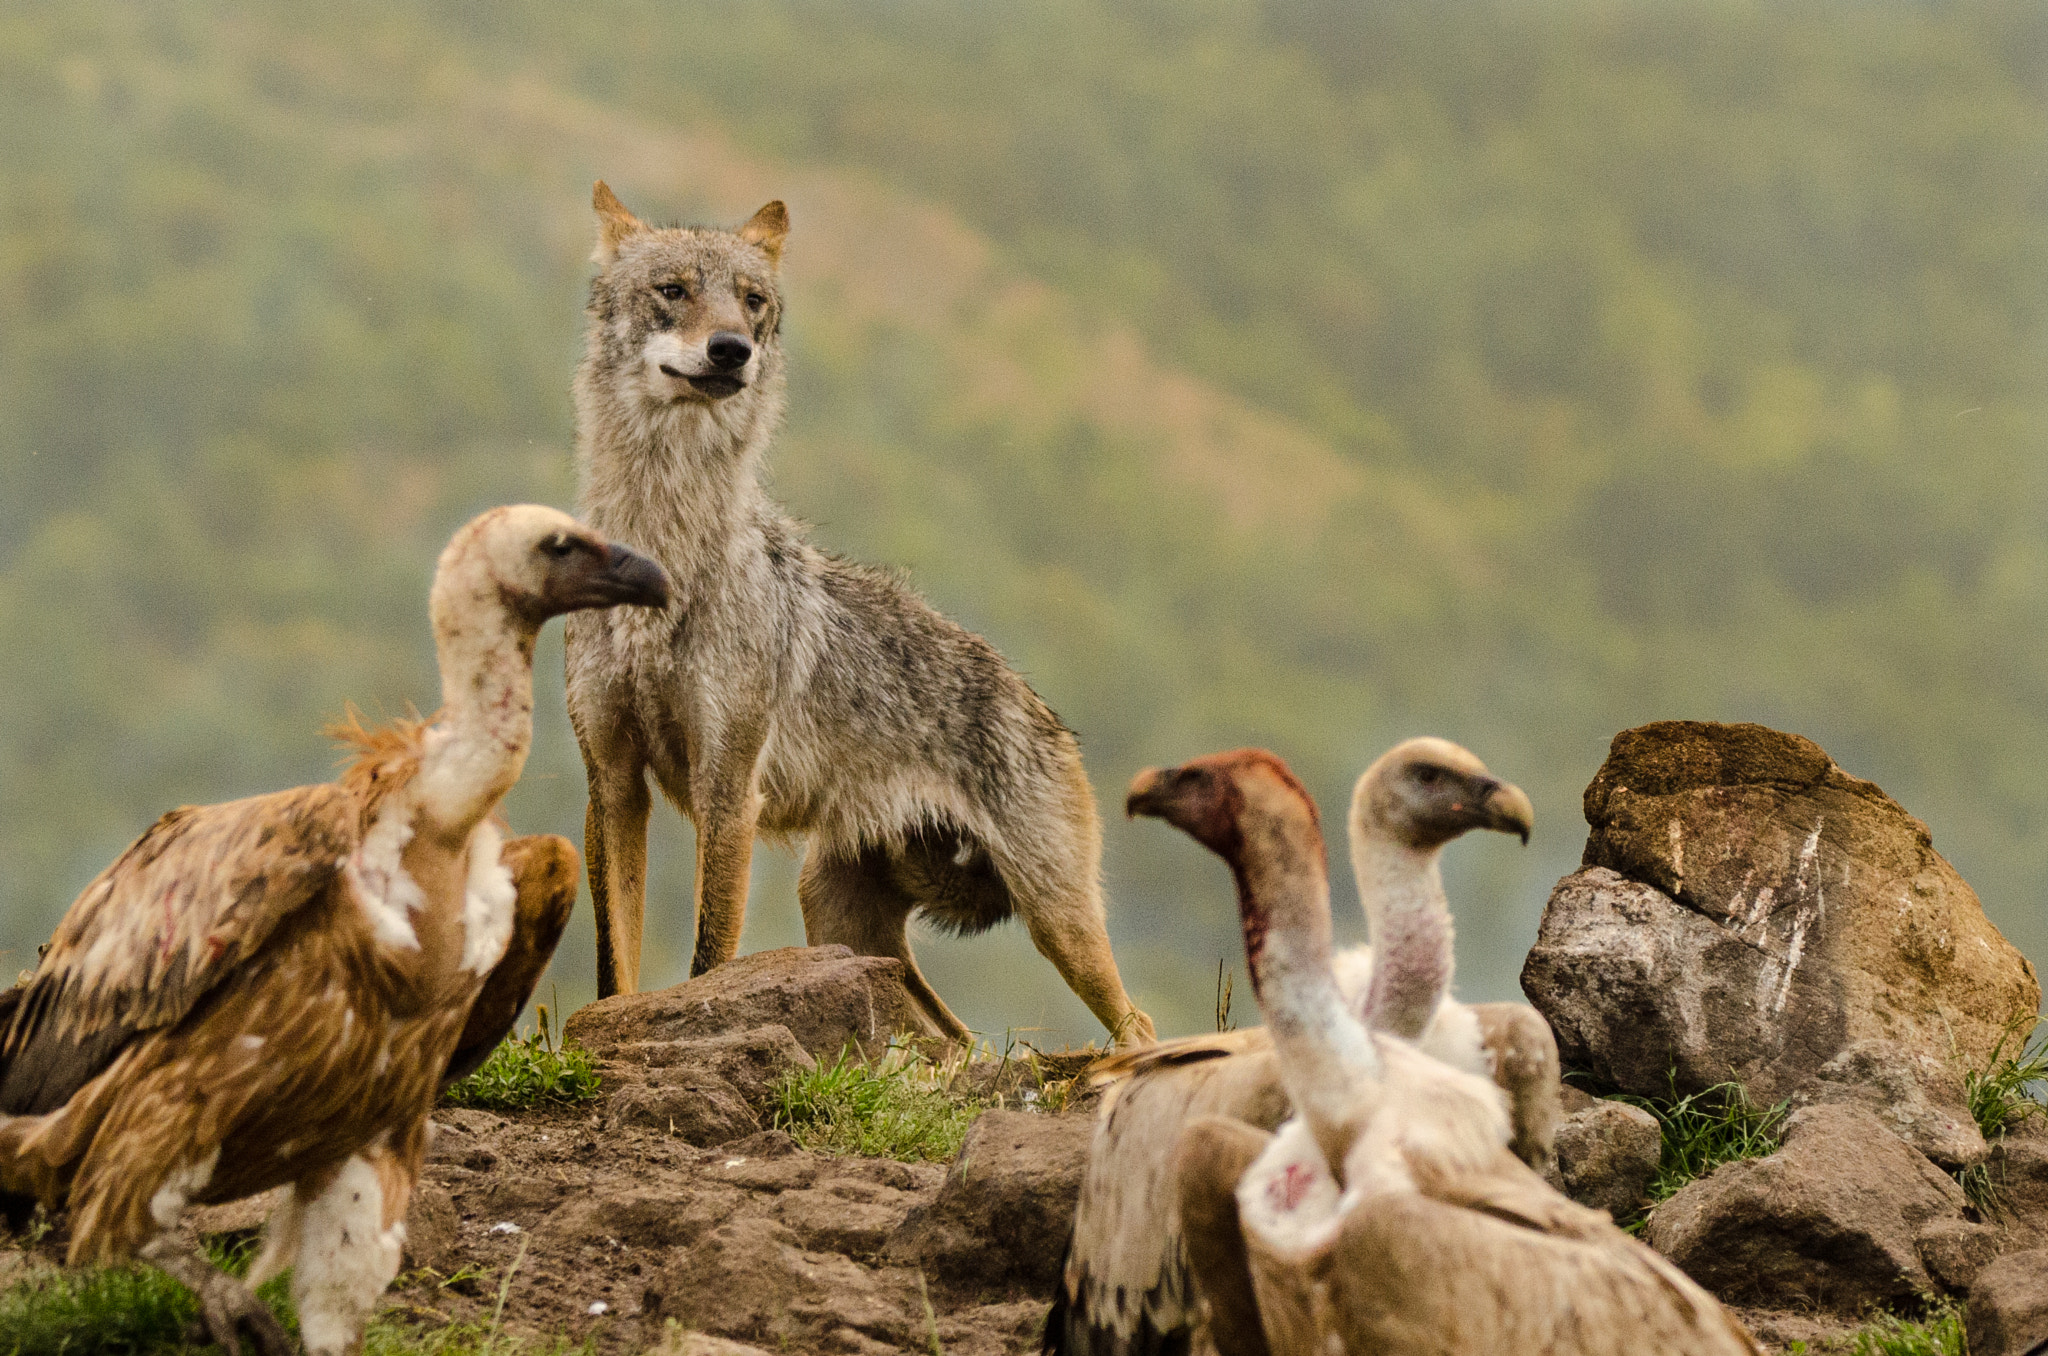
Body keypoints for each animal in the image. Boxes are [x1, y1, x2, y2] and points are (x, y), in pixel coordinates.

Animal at [564, 182, 1156, 1046]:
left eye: (752, 302)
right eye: (672, 290)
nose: (731, 351)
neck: (666, 556)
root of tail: (1043, 708)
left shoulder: (727, 789)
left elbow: (709, 960)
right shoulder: (610, 780)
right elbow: (615, 970)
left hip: (1056, 919)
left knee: (1135, 1023)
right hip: (839, 916)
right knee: (961, 1041)